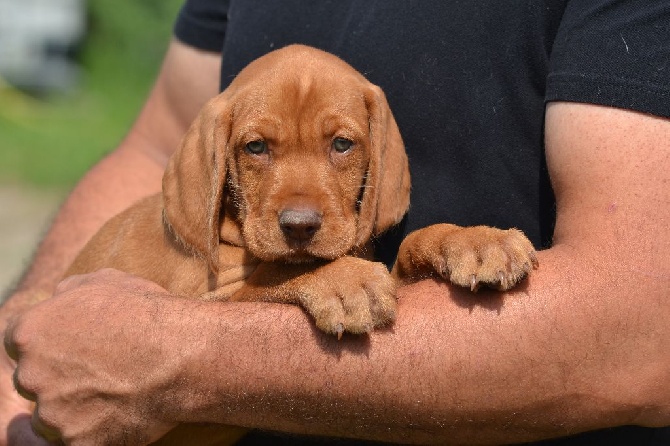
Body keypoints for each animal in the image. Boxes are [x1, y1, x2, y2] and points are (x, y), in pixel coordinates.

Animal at [63, 45, 540, 446]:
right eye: (255, 147)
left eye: (342, 144)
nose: (299, 227)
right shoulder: (202, 300)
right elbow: (278, 271)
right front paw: (343, 282)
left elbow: (413, 243)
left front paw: (477, 240)